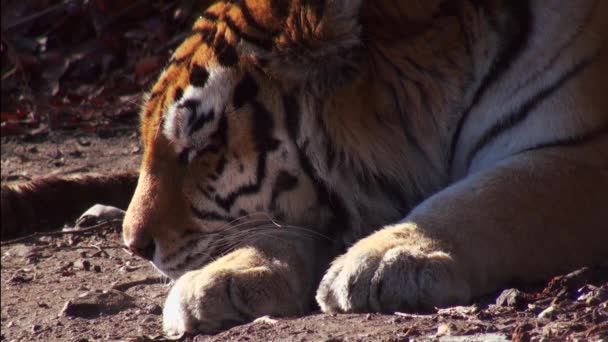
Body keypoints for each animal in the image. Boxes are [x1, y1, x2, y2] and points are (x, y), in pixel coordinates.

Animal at [1, 0, 608, 336]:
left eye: (201, 146)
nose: (133, 246)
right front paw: (219, 280)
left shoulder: (582, 152)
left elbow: (492, 196)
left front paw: (387, 258)